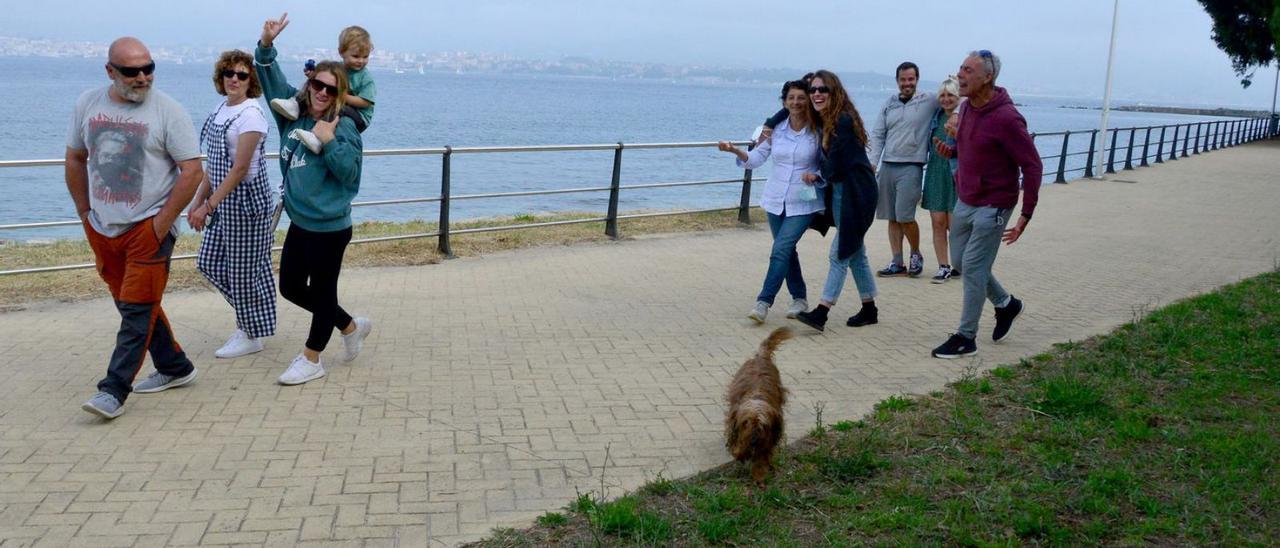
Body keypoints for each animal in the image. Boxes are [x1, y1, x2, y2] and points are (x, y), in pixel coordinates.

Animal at [727, 325, 783, 483]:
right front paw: (740, 453)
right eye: (746, 422)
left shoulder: (768, 438)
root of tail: (761, 357)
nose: (753, 441)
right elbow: (738, 444)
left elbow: (761, 457)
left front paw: (758, 475)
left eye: (763, 424)